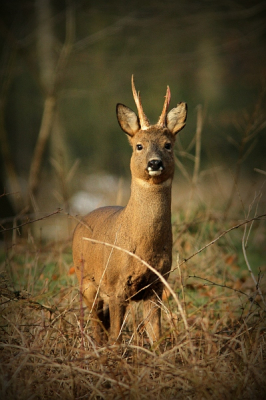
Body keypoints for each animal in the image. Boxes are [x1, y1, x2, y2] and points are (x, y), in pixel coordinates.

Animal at [73, 76, 187, 346]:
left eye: (168, 145)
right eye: (139, 146)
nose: (155, 163)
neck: (144, 249)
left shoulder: (157, 285)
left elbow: (156, 335)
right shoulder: (116, 287)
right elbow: (115, 337)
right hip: (86, 282)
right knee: (96, 325)